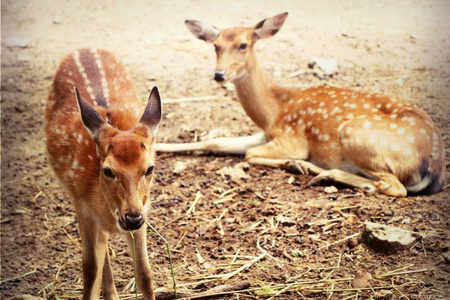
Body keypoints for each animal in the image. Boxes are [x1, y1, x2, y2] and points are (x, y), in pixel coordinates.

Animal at [45, 48, 162, 298]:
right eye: (107, 170)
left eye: (150, 168)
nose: (132, 217)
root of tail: (84, 48)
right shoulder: (82, 205)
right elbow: (90, 268)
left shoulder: (144, 209)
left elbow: (145, 273)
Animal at [156, 12, 446, 197]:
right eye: (215, 45)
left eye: (243, 45)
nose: (219, 74)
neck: (274, 111)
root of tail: (434, 169)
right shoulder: (267, 134)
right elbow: (215, 142)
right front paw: (156, 146)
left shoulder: (291, 139)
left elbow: (250, 155)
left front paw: (292, 163)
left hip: (358, 136)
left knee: (394, 187)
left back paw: (315, 171)